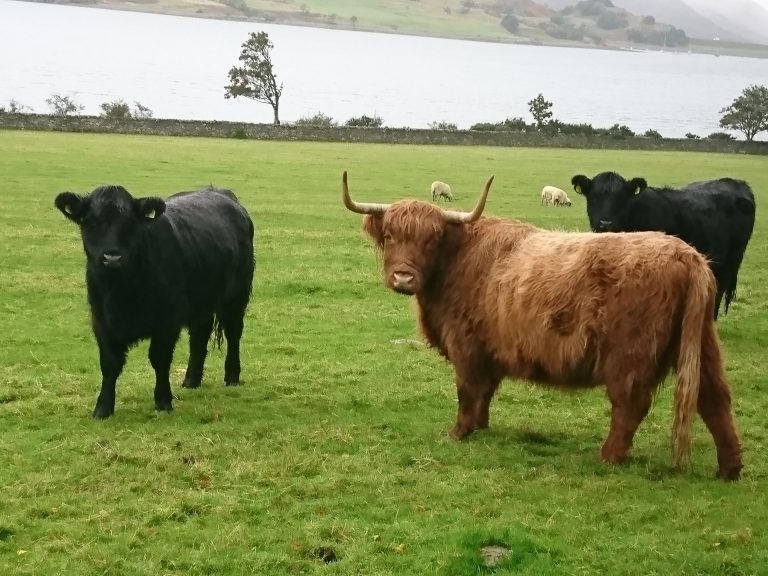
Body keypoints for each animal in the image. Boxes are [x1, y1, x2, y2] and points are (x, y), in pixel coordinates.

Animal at [52, 186, 255, 418]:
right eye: (90, 221)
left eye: (130, 223)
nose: (112, 258)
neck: (120, 292)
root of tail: (221, 192)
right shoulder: (101, 320)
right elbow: (110, 364)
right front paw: (102, 408)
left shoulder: (167, 322)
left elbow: (160, 360)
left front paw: (163, 401)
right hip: (200, 303)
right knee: (199, 337)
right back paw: (191, 381)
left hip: (236, 297)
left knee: (233, 334)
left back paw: (231, 377)